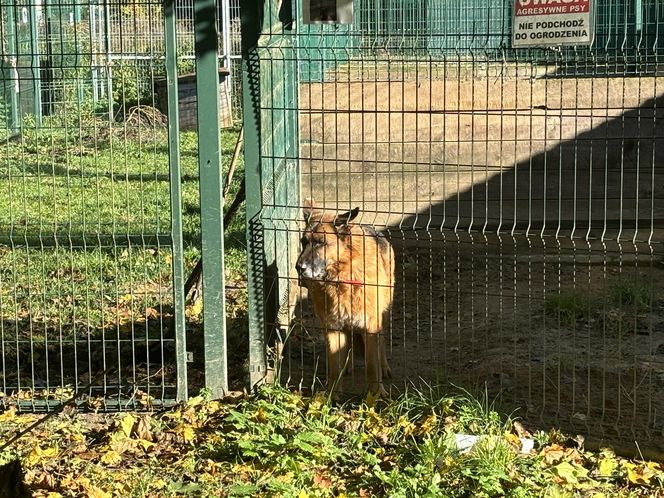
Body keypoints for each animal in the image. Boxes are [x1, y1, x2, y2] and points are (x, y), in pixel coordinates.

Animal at [296, 204, 394, 394]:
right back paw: (347, 367)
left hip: (384, 314)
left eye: (320, 242)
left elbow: (372, 365)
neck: (340, 279)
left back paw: (384, 367)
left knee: (382, 343)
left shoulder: (371, 326)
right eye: (304, 242)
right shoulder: (332, 327)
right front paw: (331, 394)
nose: (298, 267)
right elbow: (334, 366)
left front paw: (376, 393)